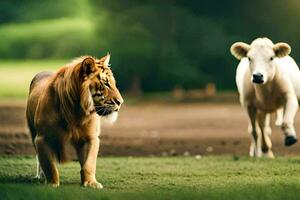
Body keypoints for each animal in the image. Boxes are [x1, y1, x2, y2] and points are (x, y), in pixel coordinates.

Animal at [26, 52, 123, 188]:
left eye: (113, 83)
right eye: (106, 83)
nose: (120, 102)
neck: (76, 111)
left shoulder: (90, 138)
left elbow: (89, 164)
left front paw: (91, 183)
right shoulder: (43, 138)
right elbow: (50, 166)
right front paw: (52, 184)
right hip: (33, 133)